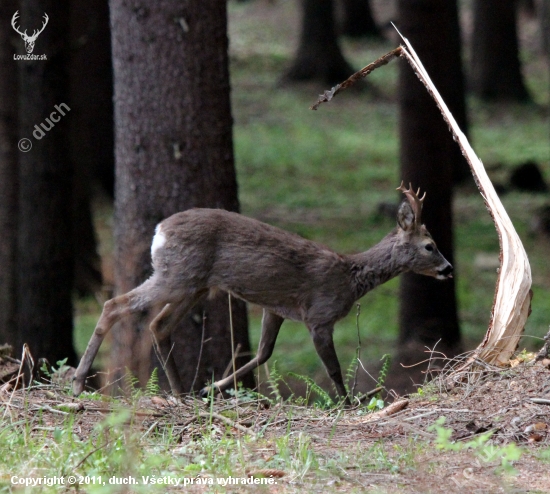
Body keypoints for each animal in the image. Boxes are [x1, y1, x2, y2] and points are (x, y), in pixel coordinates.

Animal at [73, 181, 452, 402]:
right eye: (430, 246)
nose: (448, 269)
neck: (350, 278)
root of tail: (159, 230)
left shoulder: (277, 309)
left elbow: (262, 353)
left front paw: (212, 387)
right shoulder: (319, 316)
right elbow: (333, 369)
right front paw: (346, 404)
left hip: (194, 285)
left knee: (158, 325)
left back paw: (182, 393)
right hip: (177, 276)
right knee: (115, 304)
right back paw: (78, 382)